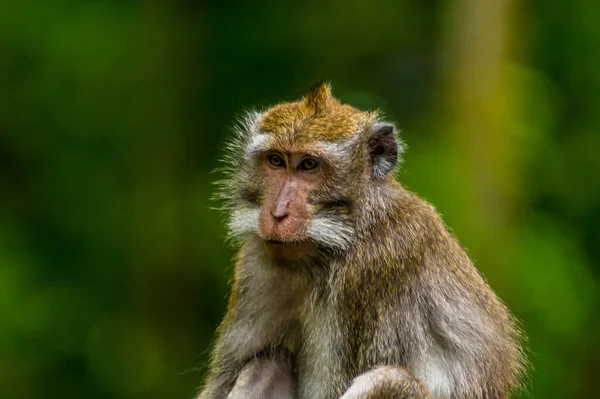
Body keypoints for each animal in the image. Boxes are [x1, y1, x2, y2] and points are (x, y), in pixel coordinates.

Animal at [198, 82, 524, 399]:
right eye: (276, 160)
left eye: (309, 165)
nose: (277, 213)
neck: (336, 243)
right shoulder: (255, 265)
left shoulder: (375, 267)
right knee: (266, 364)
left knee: (391, 380)